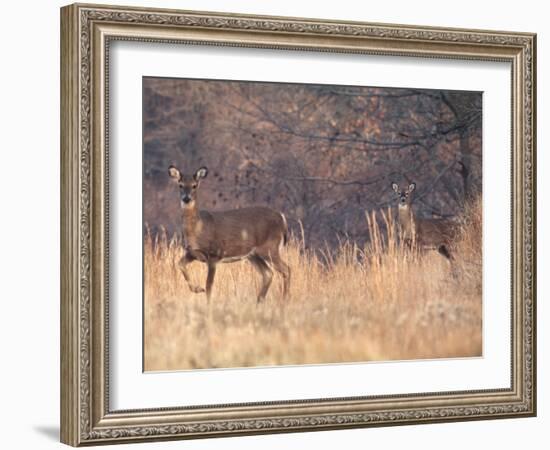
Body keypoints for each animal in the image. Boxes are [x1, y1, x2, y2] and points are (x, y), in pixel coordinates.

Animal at [168, 165, 292, 302]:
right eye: (180, 185)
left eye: (194, 185)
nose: (186, 198)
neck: (198, 229)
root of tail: (282, 218)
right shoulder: (192, 253)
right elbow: (180, 264)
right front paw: (197, 289)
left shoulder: (214, 254)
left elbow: (209, 285)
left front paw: (207, 301)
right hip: (253, 254)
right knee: (268, 273)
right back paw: (259, 301)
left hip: (270, 247)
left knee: (286, 269)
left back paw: (284, 300)